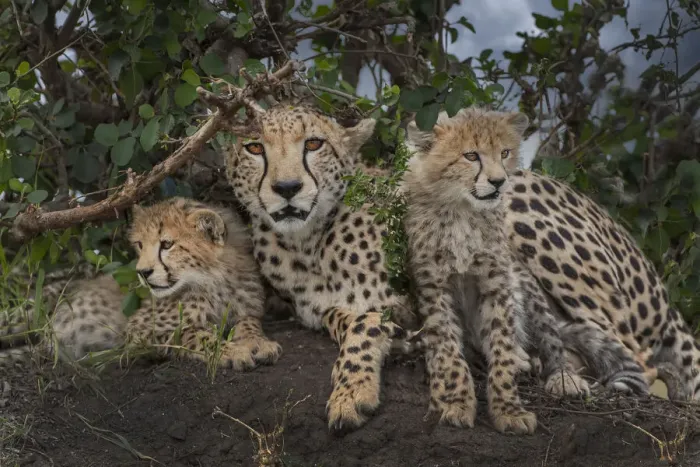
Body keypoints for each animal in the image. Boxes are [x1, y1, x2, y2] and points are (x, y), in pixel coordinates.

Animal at [0, 197, 281, 371]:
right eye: (139, 245)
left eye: (166, 244)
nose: (143, 272)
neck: (213, 280)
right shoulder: (138, 331)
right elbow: (193, 333)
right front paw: (232, 351)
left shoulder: (244, 308)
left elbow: (249, 322)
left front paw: (258, 342)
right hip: (26, 315)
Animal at [225, 105, 419, 432]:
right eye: (255, 148)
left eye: (314, 144)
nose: (287, 188)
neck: (308, 245)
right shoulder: (312, 307)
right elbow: (341, 315)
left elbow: (365, 322)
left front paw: (351, 391)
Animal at [402, 107, 590, 435]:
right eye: (470, 155)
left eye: (504, 153)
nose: (499, 181)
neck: (462, 211)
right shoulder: (434, 287)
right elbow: (449, 351)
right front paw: (457, 403)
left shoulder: (497, 283)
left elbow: (502, 345)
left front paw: (509, 410)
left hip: (526, 287)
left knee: (550, 337)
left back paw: (557, 374)